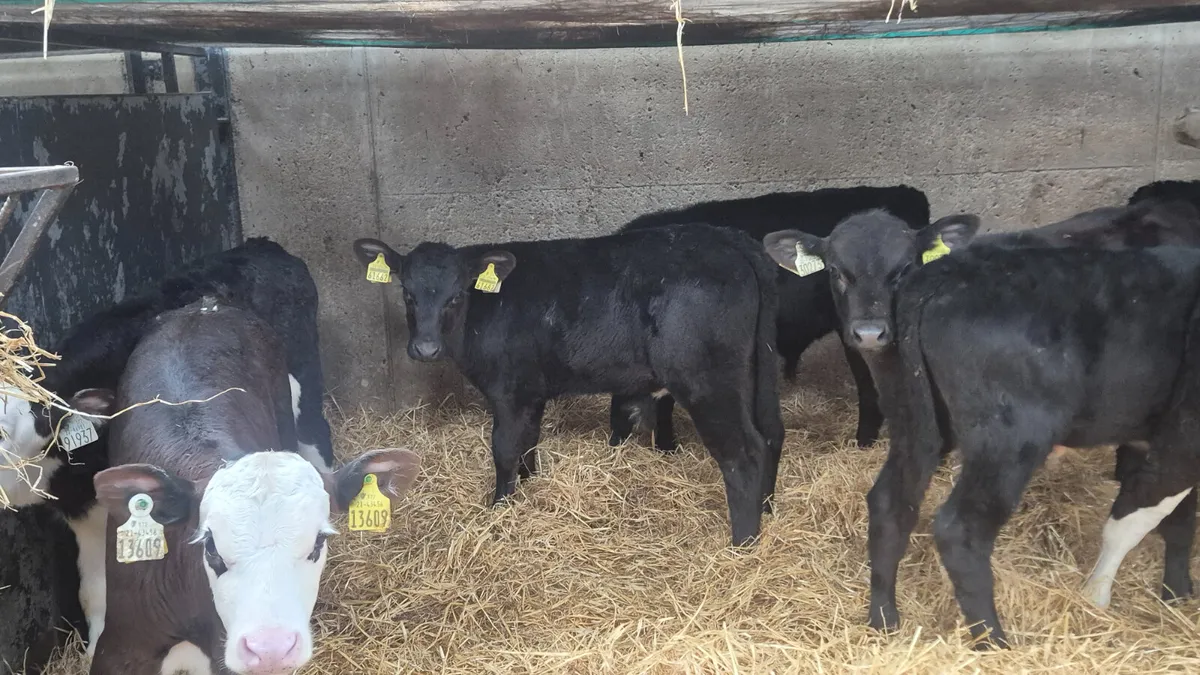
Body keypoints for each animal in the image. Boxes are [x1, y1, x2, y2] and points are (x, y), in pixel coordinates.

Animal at [351, 223, 784, 546]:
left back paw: (742, 544)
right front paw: (527, 491)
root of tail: (729, 239)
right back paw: (766, 510)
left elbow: (504, 448)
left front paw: (499, 508)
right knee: (771, 434)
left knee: (743, 453)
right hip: (758, 371)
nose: (425, 348)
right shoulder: (531, 392)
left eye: (456, 296)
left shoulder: (508, 391)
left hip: (708, 380)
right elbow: (528, 443)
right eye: (407, 293)